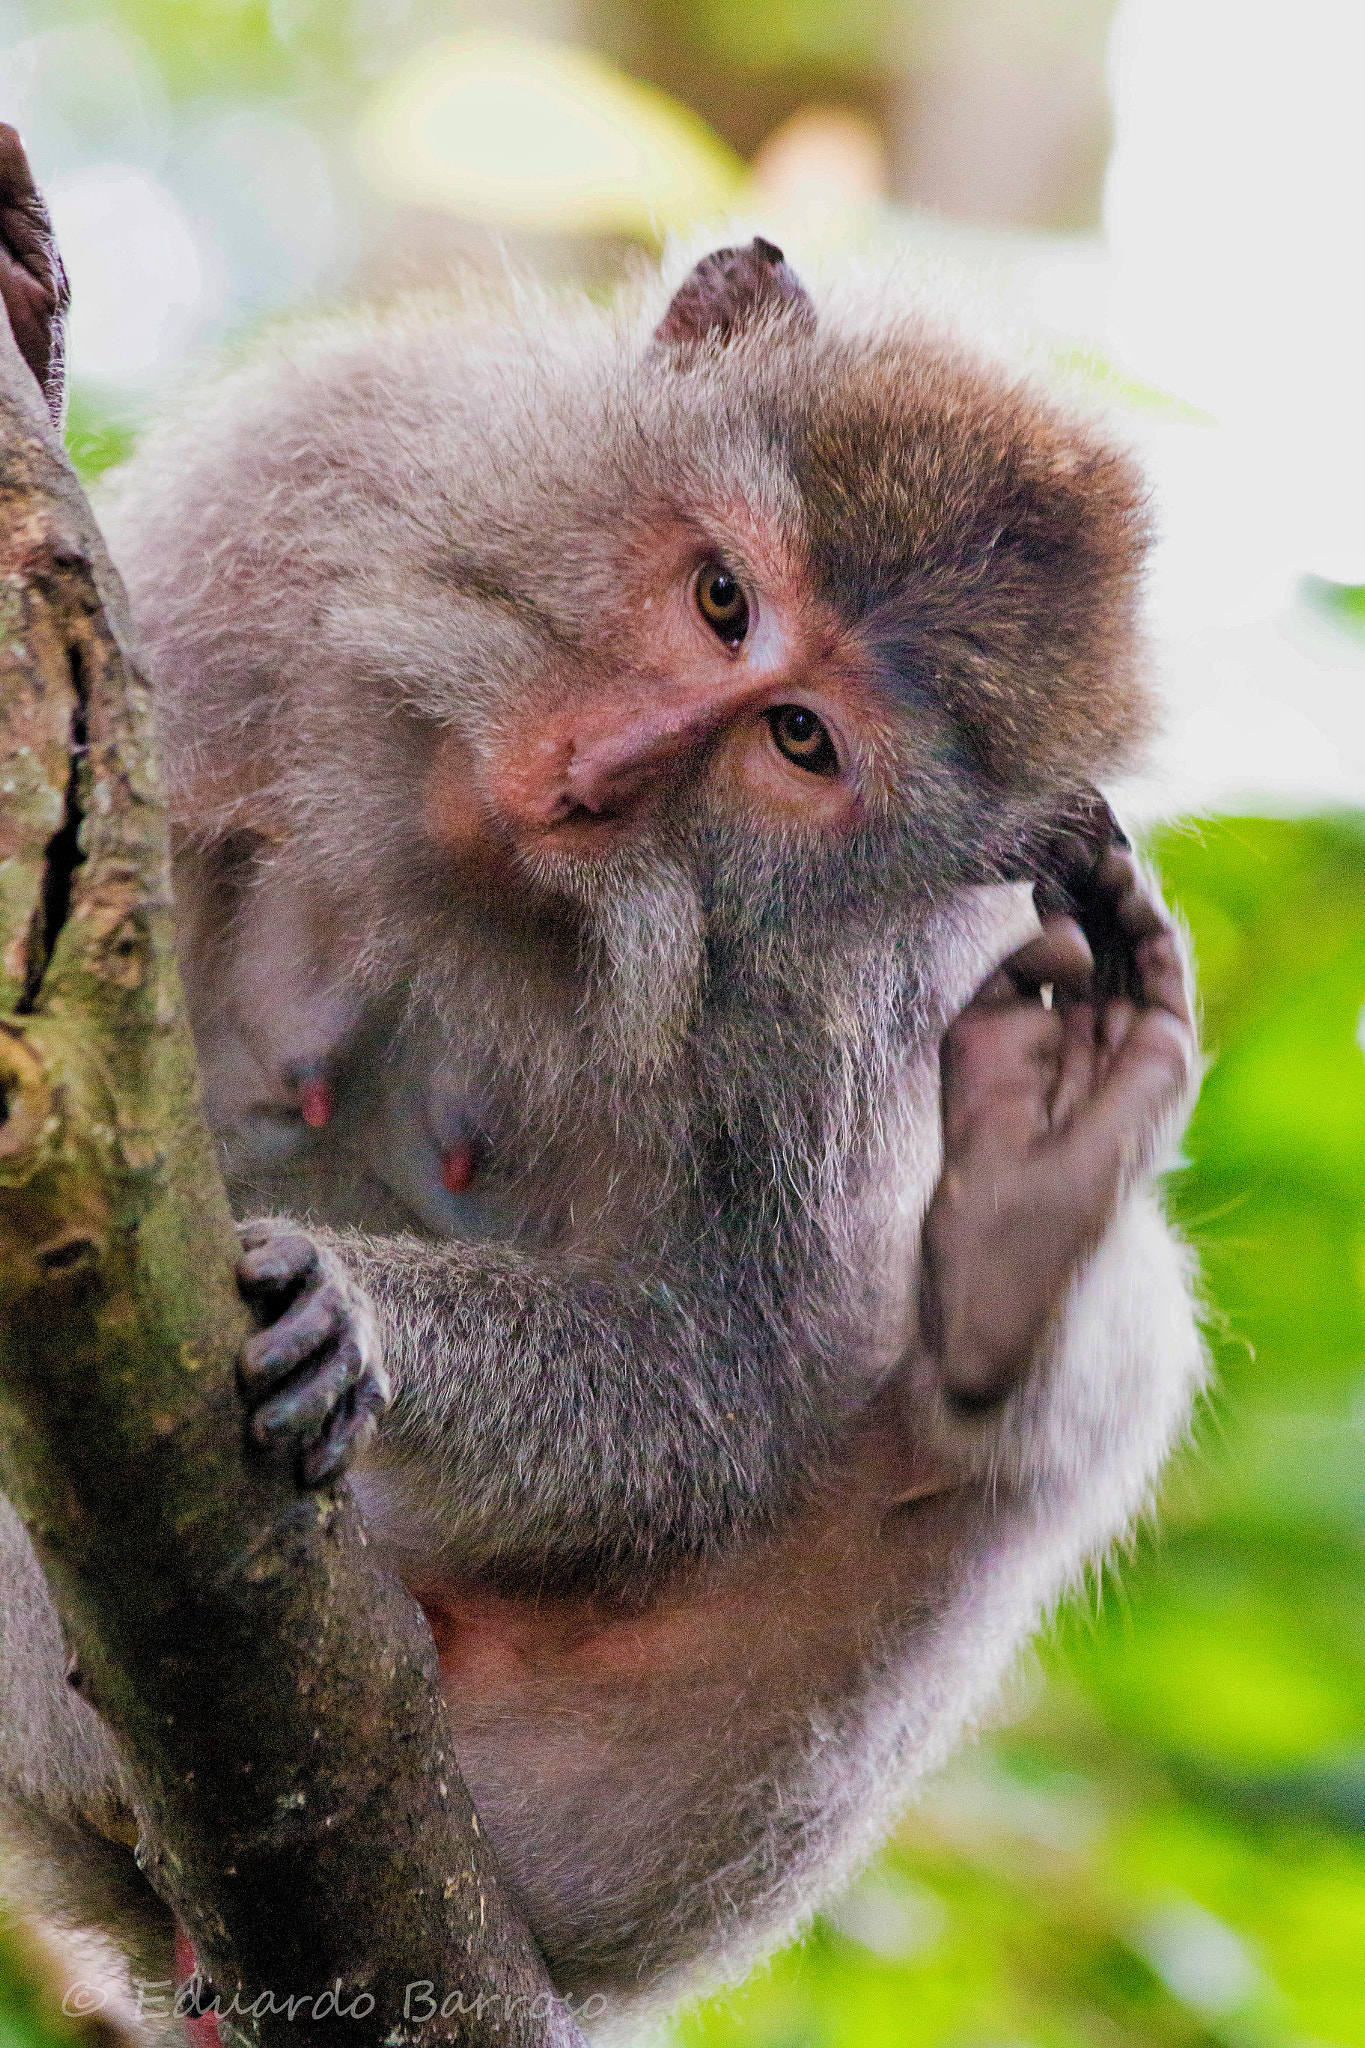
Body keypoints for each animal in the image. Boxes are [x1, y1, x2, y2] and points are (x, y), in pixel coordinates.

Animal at [0, 137, 1202, 2039]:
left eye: (801, 742)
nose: (596, 774)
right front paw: (28, 334)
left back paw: (1030, 1223)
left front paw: (364, 1317)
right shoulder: (319, 474)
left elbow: (721, 1377)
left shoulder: (854, 999)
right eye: (722, 598)